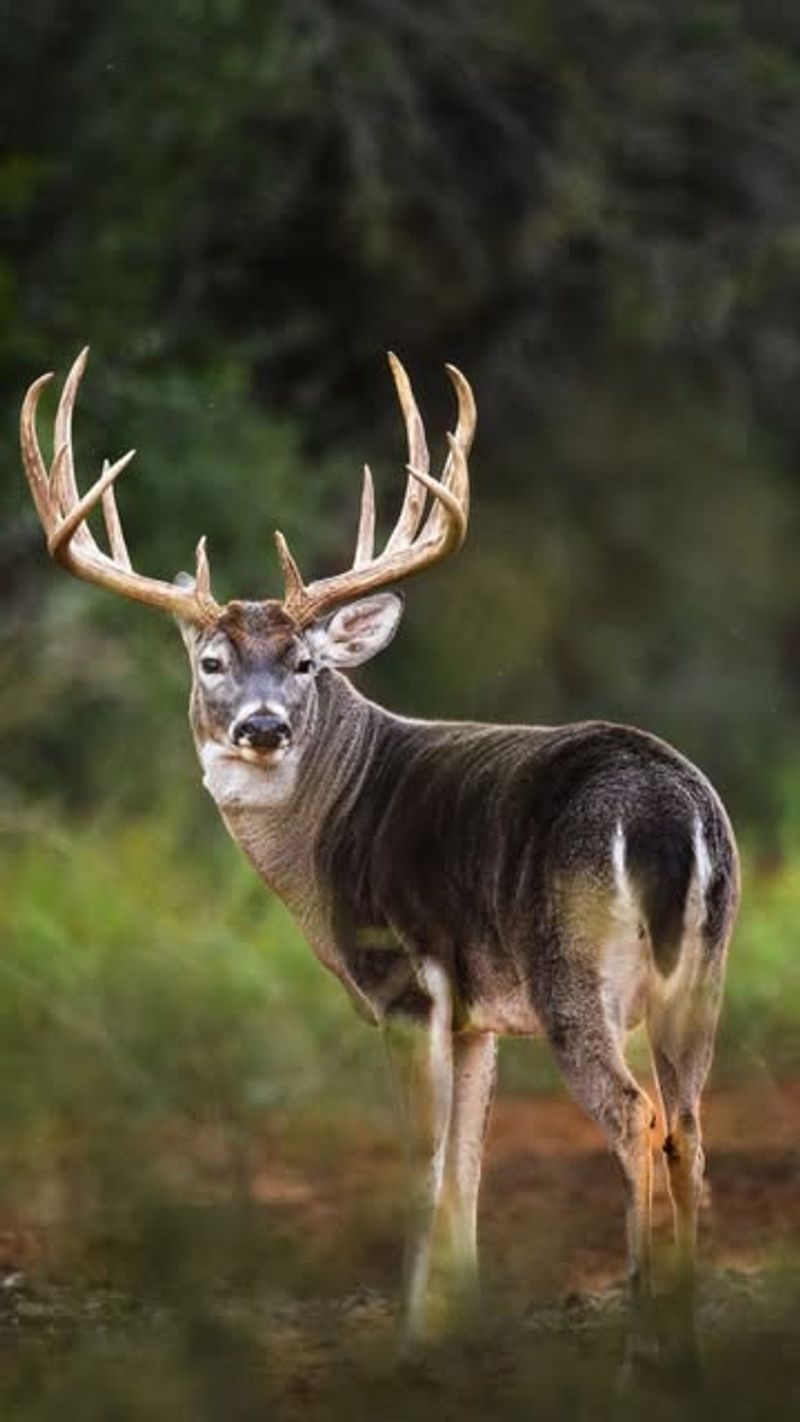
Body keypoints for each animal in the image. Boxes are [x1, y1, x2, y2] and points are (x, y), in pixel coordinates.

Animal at [21, 348, 738, 1369]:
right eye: (210, 661)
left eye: (307, 663)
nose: (263, 726)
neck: (331, 816)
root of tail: (671, 811)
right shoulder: (477, 1013)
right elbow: (467, 1168)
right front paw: (461, 1324)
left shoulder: (404, 981)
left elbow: (422, 1164)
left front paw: (412, 1338)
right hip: (698, 971)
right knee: (688, 1127)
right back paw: (684, 1340)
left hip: (571, 963)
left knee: (637, 1116)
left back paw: (644, 1342)